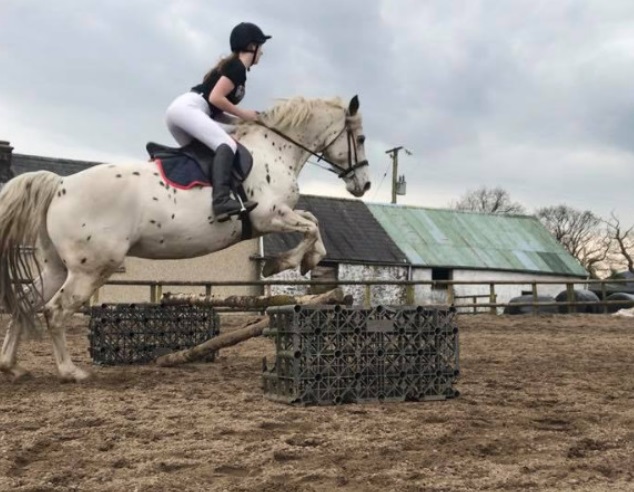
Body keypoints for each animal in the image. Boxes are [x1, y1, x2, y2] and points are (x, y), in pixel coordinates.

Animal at [0, 95, 370, 380]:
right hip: (91, 268)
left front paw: (304, 260)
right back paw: (69, 371)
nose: (363, 184)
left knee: (27, 303)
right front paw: (284, 263)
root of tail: (60, 184)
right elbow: (311, 226)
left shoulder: (276, 217)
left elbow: (313, 222)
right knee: (54, 311)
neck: (274, 150)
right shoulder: (269, 216)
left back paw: (11, 366)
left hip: (58, 267)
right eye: (362, 138)